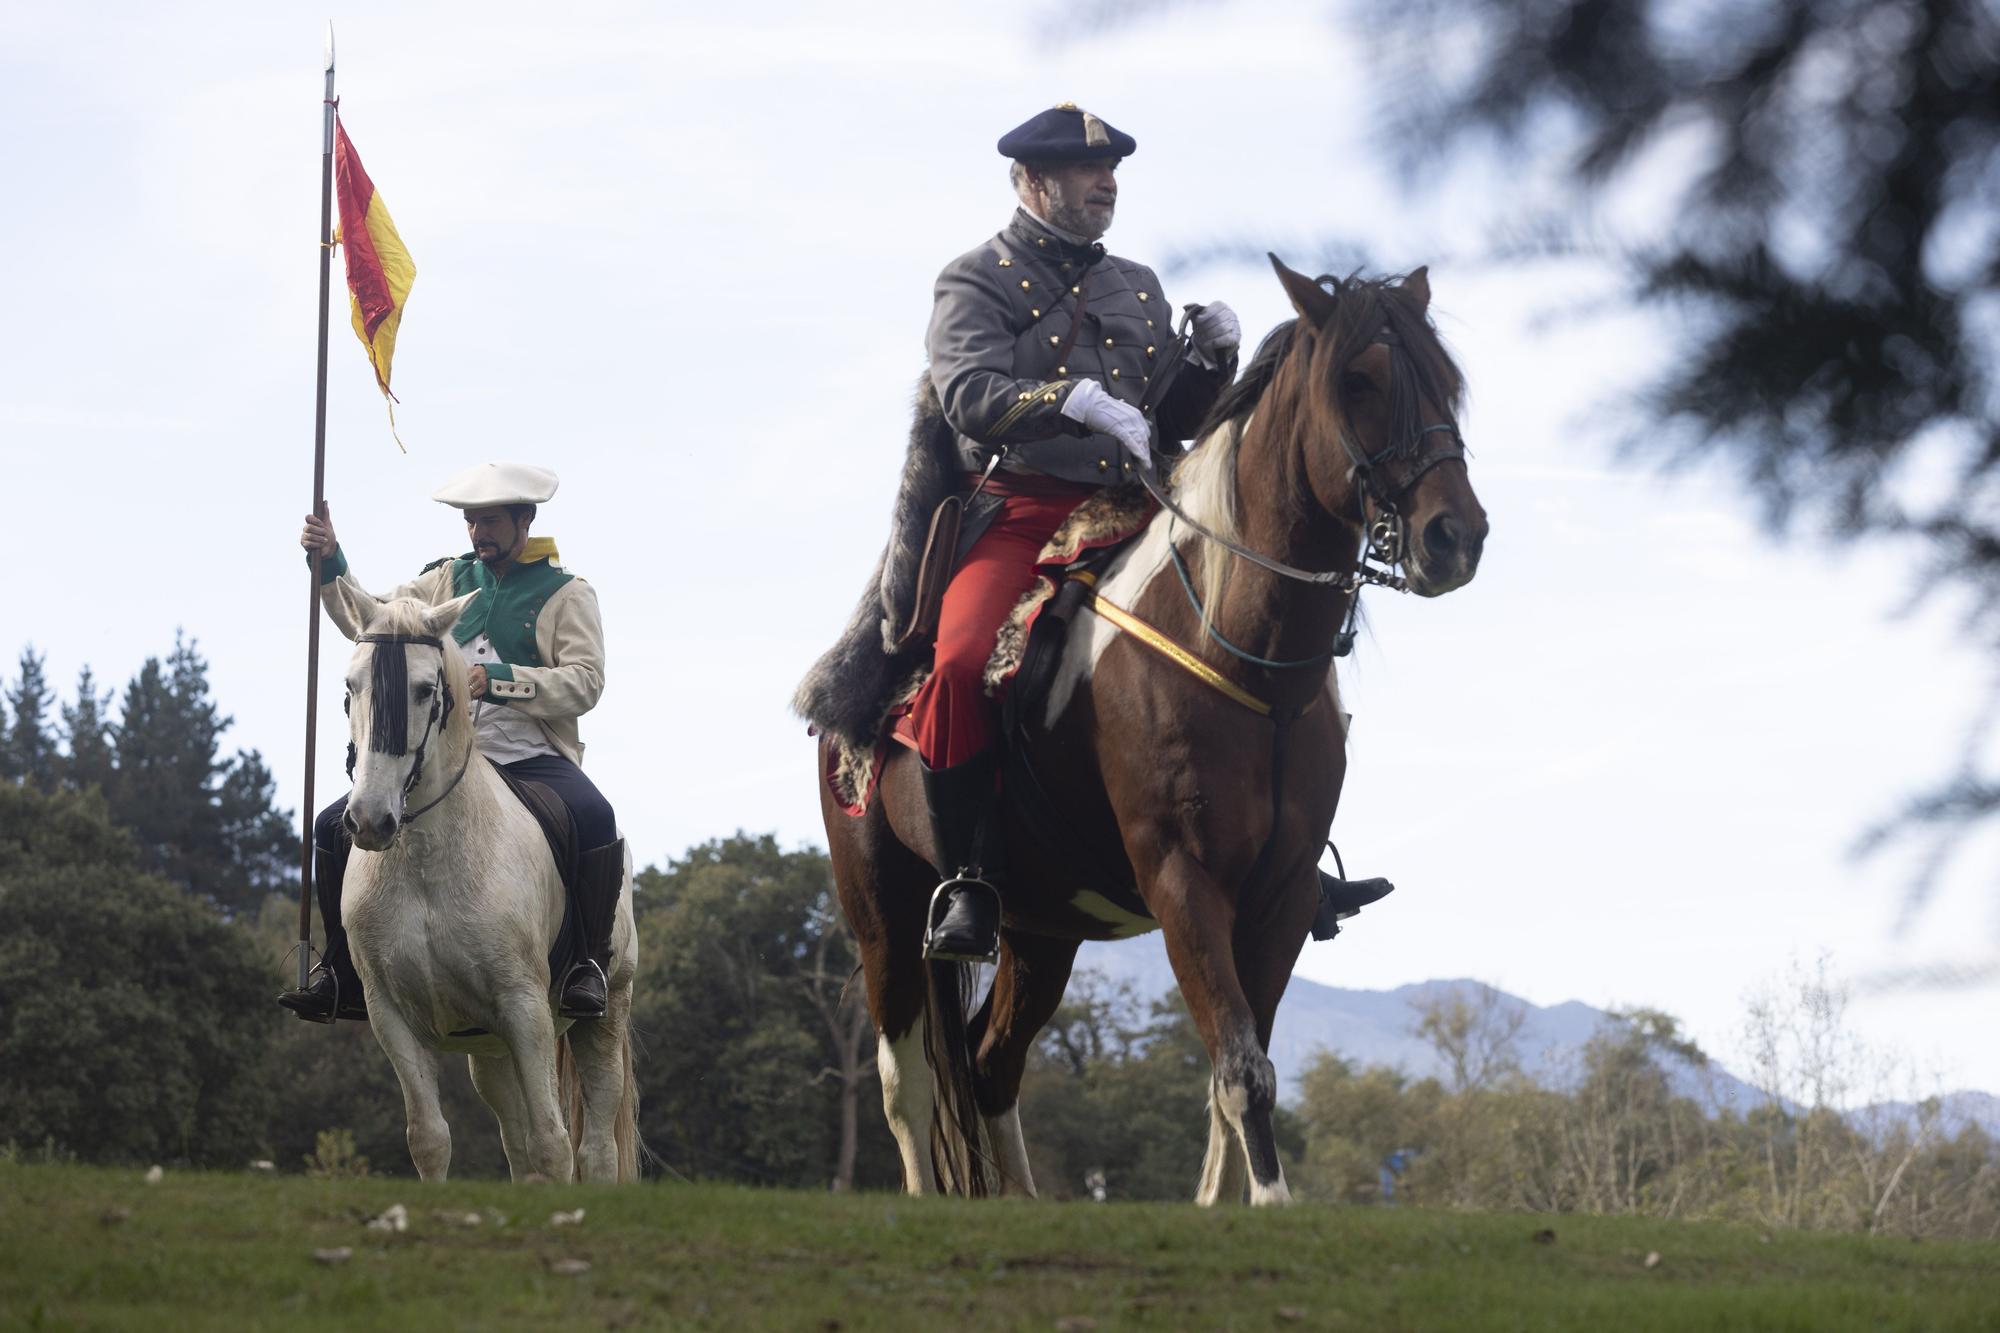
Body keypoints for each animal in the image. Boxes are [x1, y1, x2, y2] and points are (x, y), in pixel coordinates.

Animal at [334, 592, 632, 1176]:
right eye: (351, 686)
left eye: (425, 690)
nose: (370, 820)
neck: (426, 862)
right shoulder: (389, 1014)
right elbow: (429, 1138)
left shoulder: (525, 1008)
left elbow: (552, 1143)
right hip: (490, 1050)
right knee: (515, 1142)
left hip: (604, 1017)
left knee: (595, 1149)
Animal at [812, 254, 1488, 1200]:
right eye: (1358, 381)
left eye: (1447, 384)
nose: (1456, 536)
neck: (1244, 657)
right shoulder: (1183, 883)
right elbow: (1241, 1072)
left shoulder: (1280, 896)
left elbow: (1234, 1074)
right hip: (885, 917)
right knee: (905, 1083)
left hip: (1040, 931)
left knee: (989, 1066)